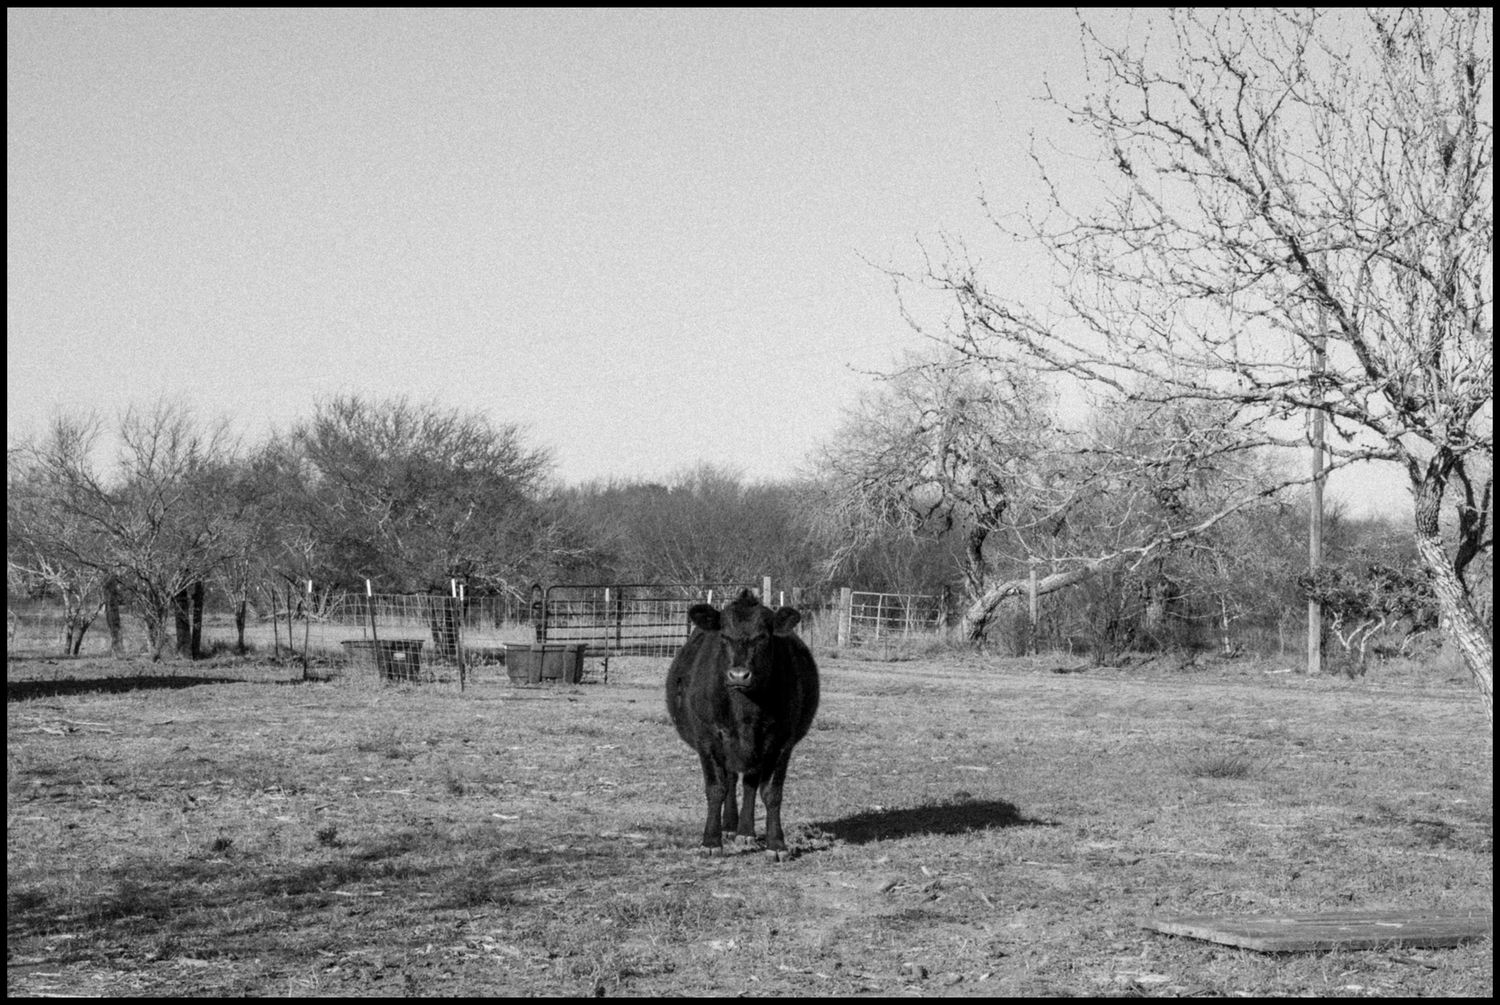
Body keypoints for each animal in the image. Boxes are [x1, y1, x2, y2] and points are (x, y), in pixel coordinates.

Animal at [665, 589, 819, 861]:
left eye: (763, 637)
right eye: (724, 636)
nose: (739, 675)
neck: (745, 710)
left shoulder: (781, 742)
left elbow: (771, 793)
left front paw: (776, 844)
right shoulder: (708, 738)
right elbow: (716, 788)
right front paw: (711, 841)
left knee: (749, 784)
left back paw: (745, 831)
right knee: (730, 781)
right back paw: (728, 827)